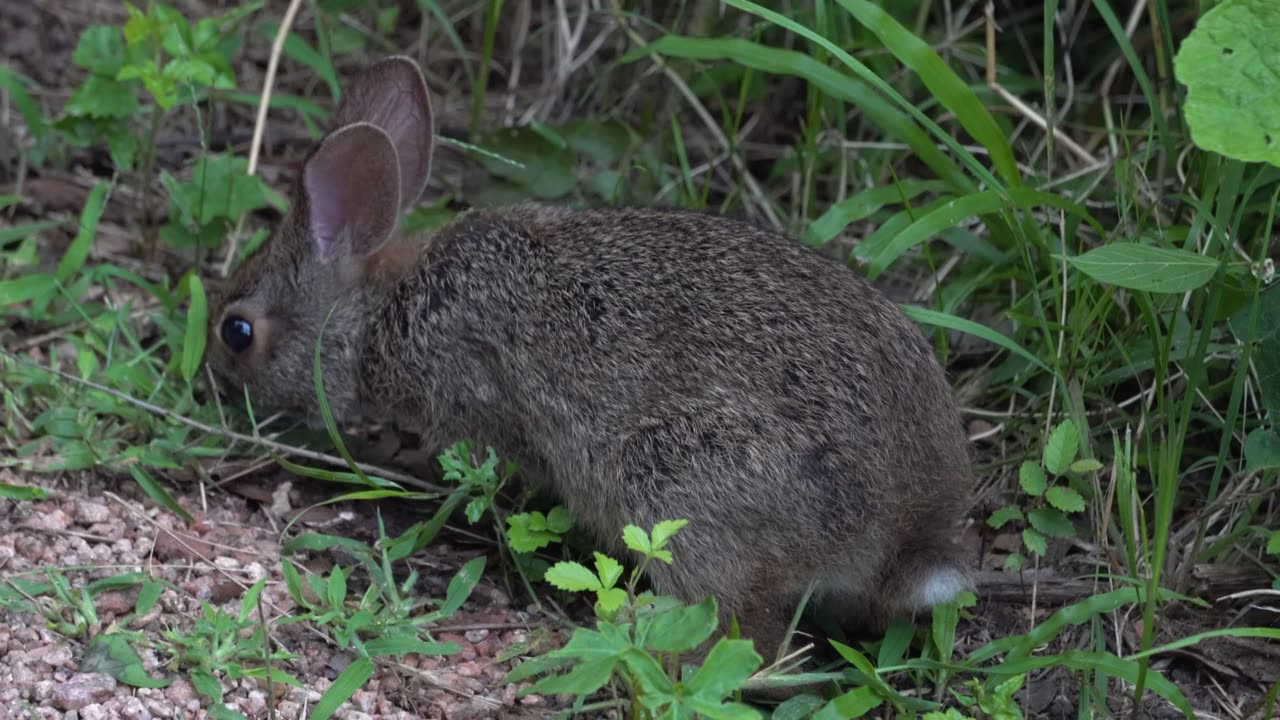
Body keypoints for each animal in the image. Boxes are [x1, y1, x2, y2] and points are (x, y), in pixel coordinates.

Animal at [207, 56, 967, 666]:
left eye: (238, 331)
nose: (213, 376)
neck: (384, 310)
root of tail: (903, 540)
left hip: (676, 479)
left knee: (748, 642)